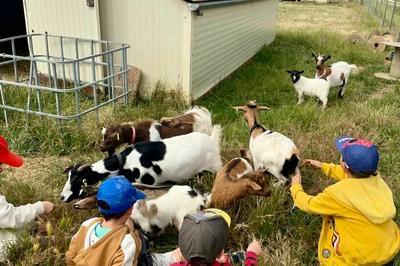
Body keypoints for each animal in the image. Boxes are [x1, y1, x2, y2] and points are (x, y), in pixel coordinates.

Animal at [60, 125, 222, 203]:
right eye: (68, 177)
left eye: (77, 180)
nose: (62, 197)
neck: (123, 163)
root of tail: (212, 140)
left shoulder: (149, 181)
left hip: (215, 167)